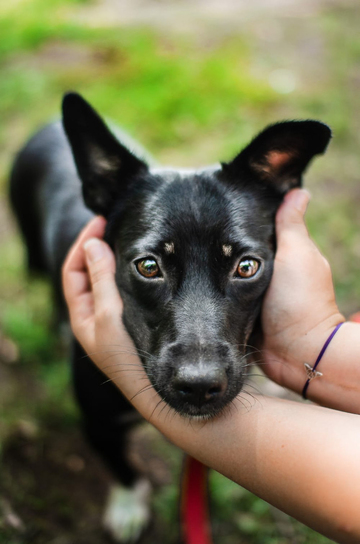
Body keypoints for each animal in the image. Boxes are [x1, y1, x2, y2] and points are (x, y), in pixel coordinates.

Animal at [8, 93, 330, 540]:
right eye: (148, 266)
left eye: (247, 266)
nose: (199, 386)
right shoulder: (98, 422)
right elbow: (122, 467)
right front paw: (128, 506)